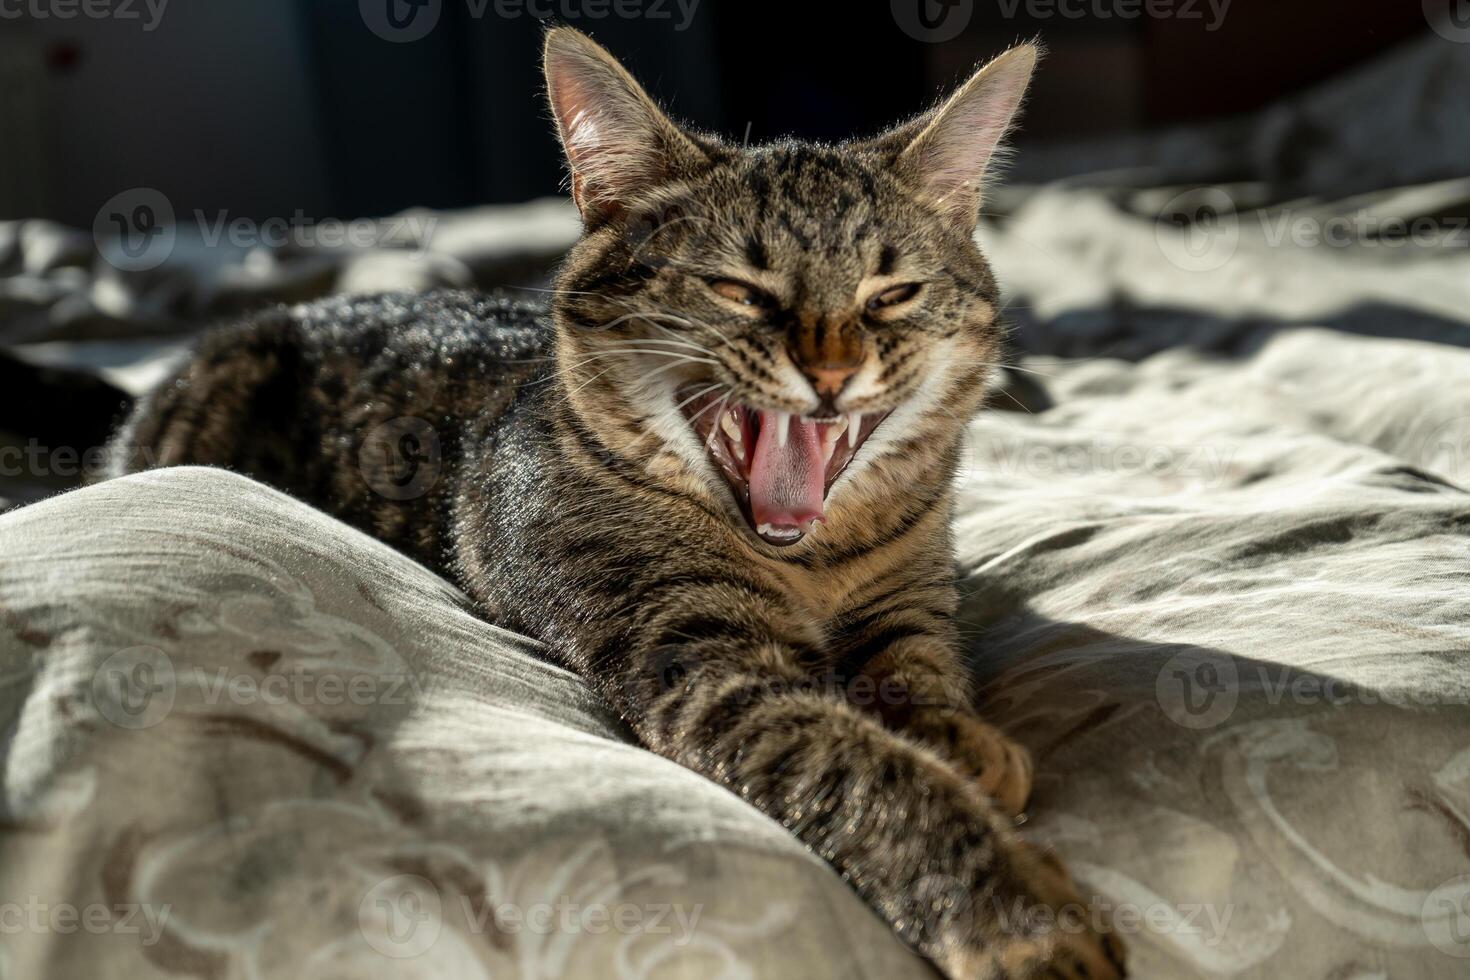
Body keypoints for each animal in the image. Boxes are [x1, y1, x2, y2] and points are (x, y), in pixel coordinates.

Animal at [108, 30, 1123, 980]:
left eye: (893, 293)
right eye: (739, 289)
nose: (833, 372)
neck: (811, 562)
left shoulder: (909, 597)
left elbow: (917, 665)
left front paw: (960, 736)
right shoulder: (703, 656)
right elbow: (861, 769)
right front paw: (1019, 915)